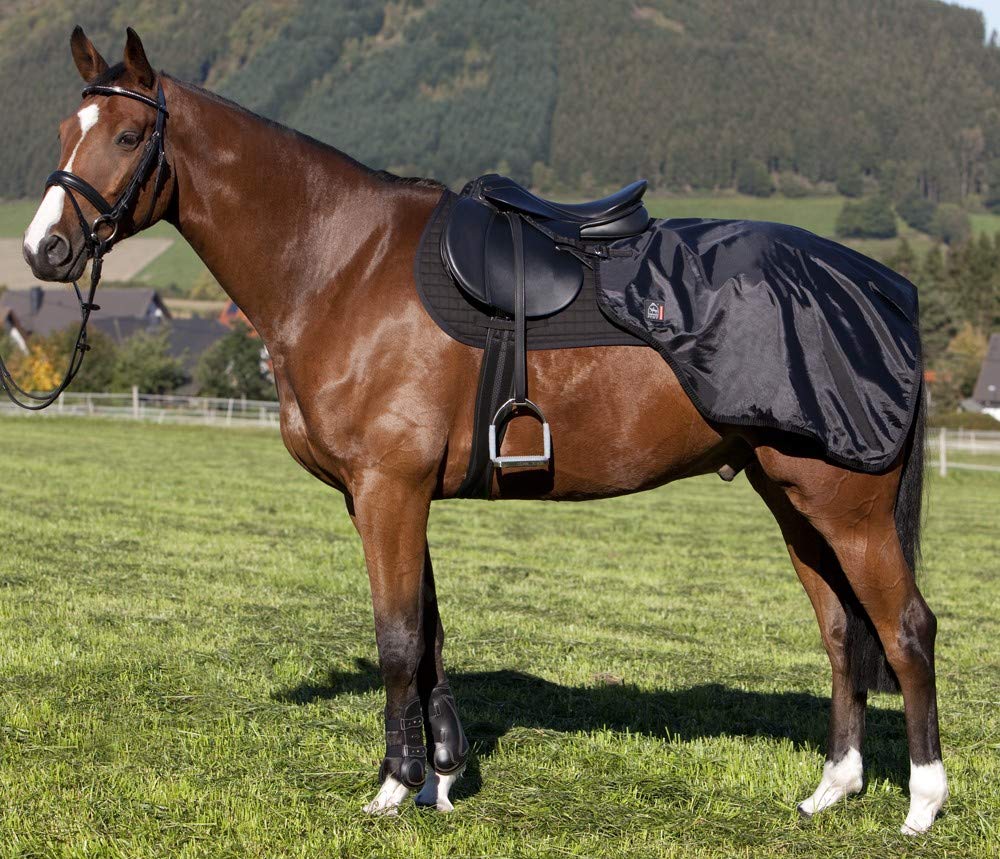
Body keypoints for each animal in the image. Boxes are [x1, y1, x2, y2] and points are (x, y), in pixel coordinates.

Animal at [21, 27, 947, 833]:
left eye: (130, 134)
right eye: (66, 130)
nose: (44, 250)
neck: (341, 264)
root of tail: (884, 289)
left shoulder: (389, 490)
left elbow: (397, 639)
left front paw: (394, 788)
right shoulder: (387, 496)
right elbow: (430, 635)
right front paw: (441, 773)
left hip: (847, 507)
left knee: (905, 630)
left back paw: (922, 803)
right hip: (792, 499)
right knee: (842, 632)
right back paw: (833, 788)